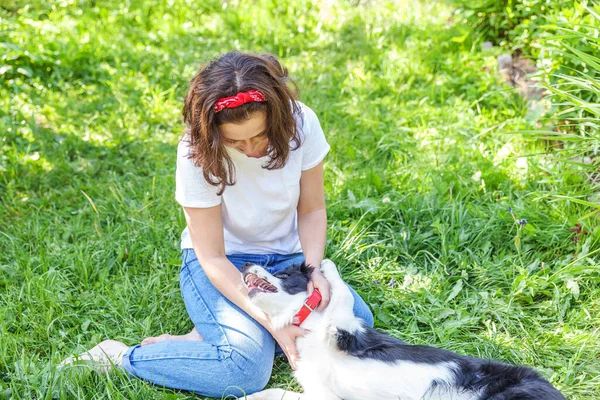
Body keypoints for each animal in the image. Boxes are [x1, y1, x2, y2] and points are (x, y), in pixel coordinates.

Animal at [239, 260, 564, 398]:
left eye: (283, 274)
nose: (243, 266)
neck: (308, 328)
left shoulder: (348, 331)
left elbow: (340, 299)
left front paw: (327, 268)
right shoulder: (323, 395)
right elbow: (275, 393)